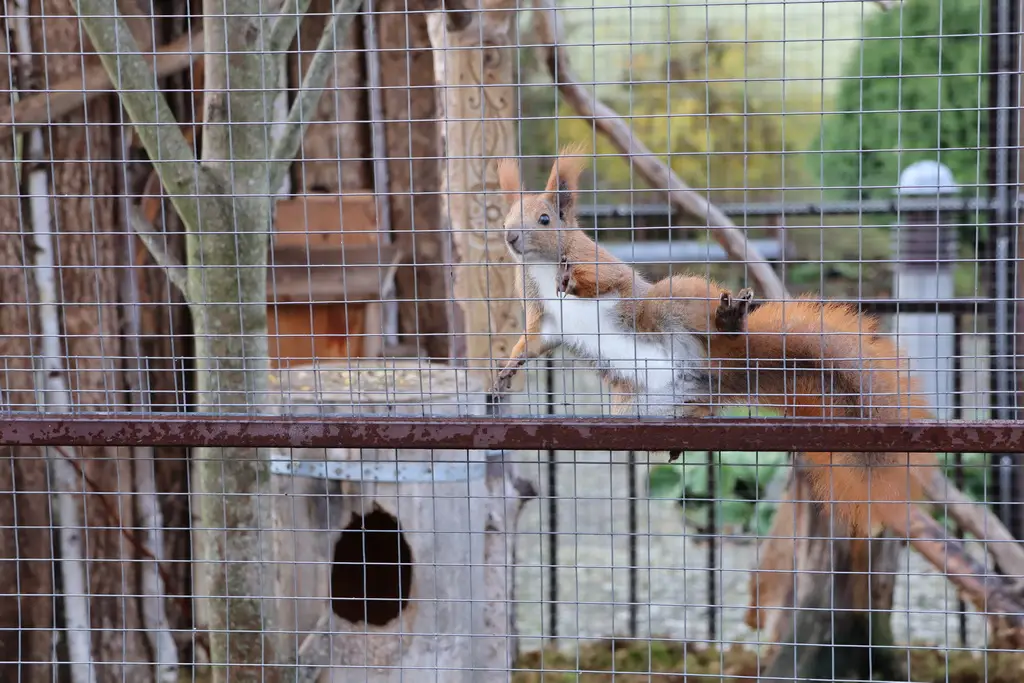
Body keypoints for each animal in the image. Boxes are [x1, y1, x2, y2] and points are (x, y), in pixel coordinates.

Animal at [494, 144, 933, 531]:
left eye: (545, 219)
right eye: (507, 217)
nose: (510, 237)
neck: (541, 266)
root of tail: (714, 370)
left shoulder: (600, 264)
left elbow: (604, 279)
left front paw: (572, 280)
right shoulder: (546, 320)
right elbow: (532, 343)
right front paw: (509, 365)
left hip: (673, 302)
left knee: (704, 322)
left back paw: (728, 320)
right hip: (644, 407)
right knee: (694, 412)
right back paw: (681, 436)